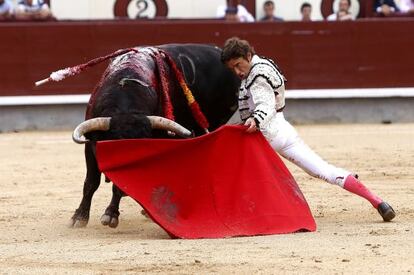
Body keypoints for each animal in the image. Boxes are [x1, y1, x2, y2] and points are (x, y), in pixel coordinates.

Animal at [68, 43, 239, 229]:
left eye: (144, 147)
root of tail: (218, 51)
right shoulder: (90, 144)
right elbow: (91, 182)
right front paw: (79, 217)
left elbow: (117, 186)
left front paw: (110, 214)